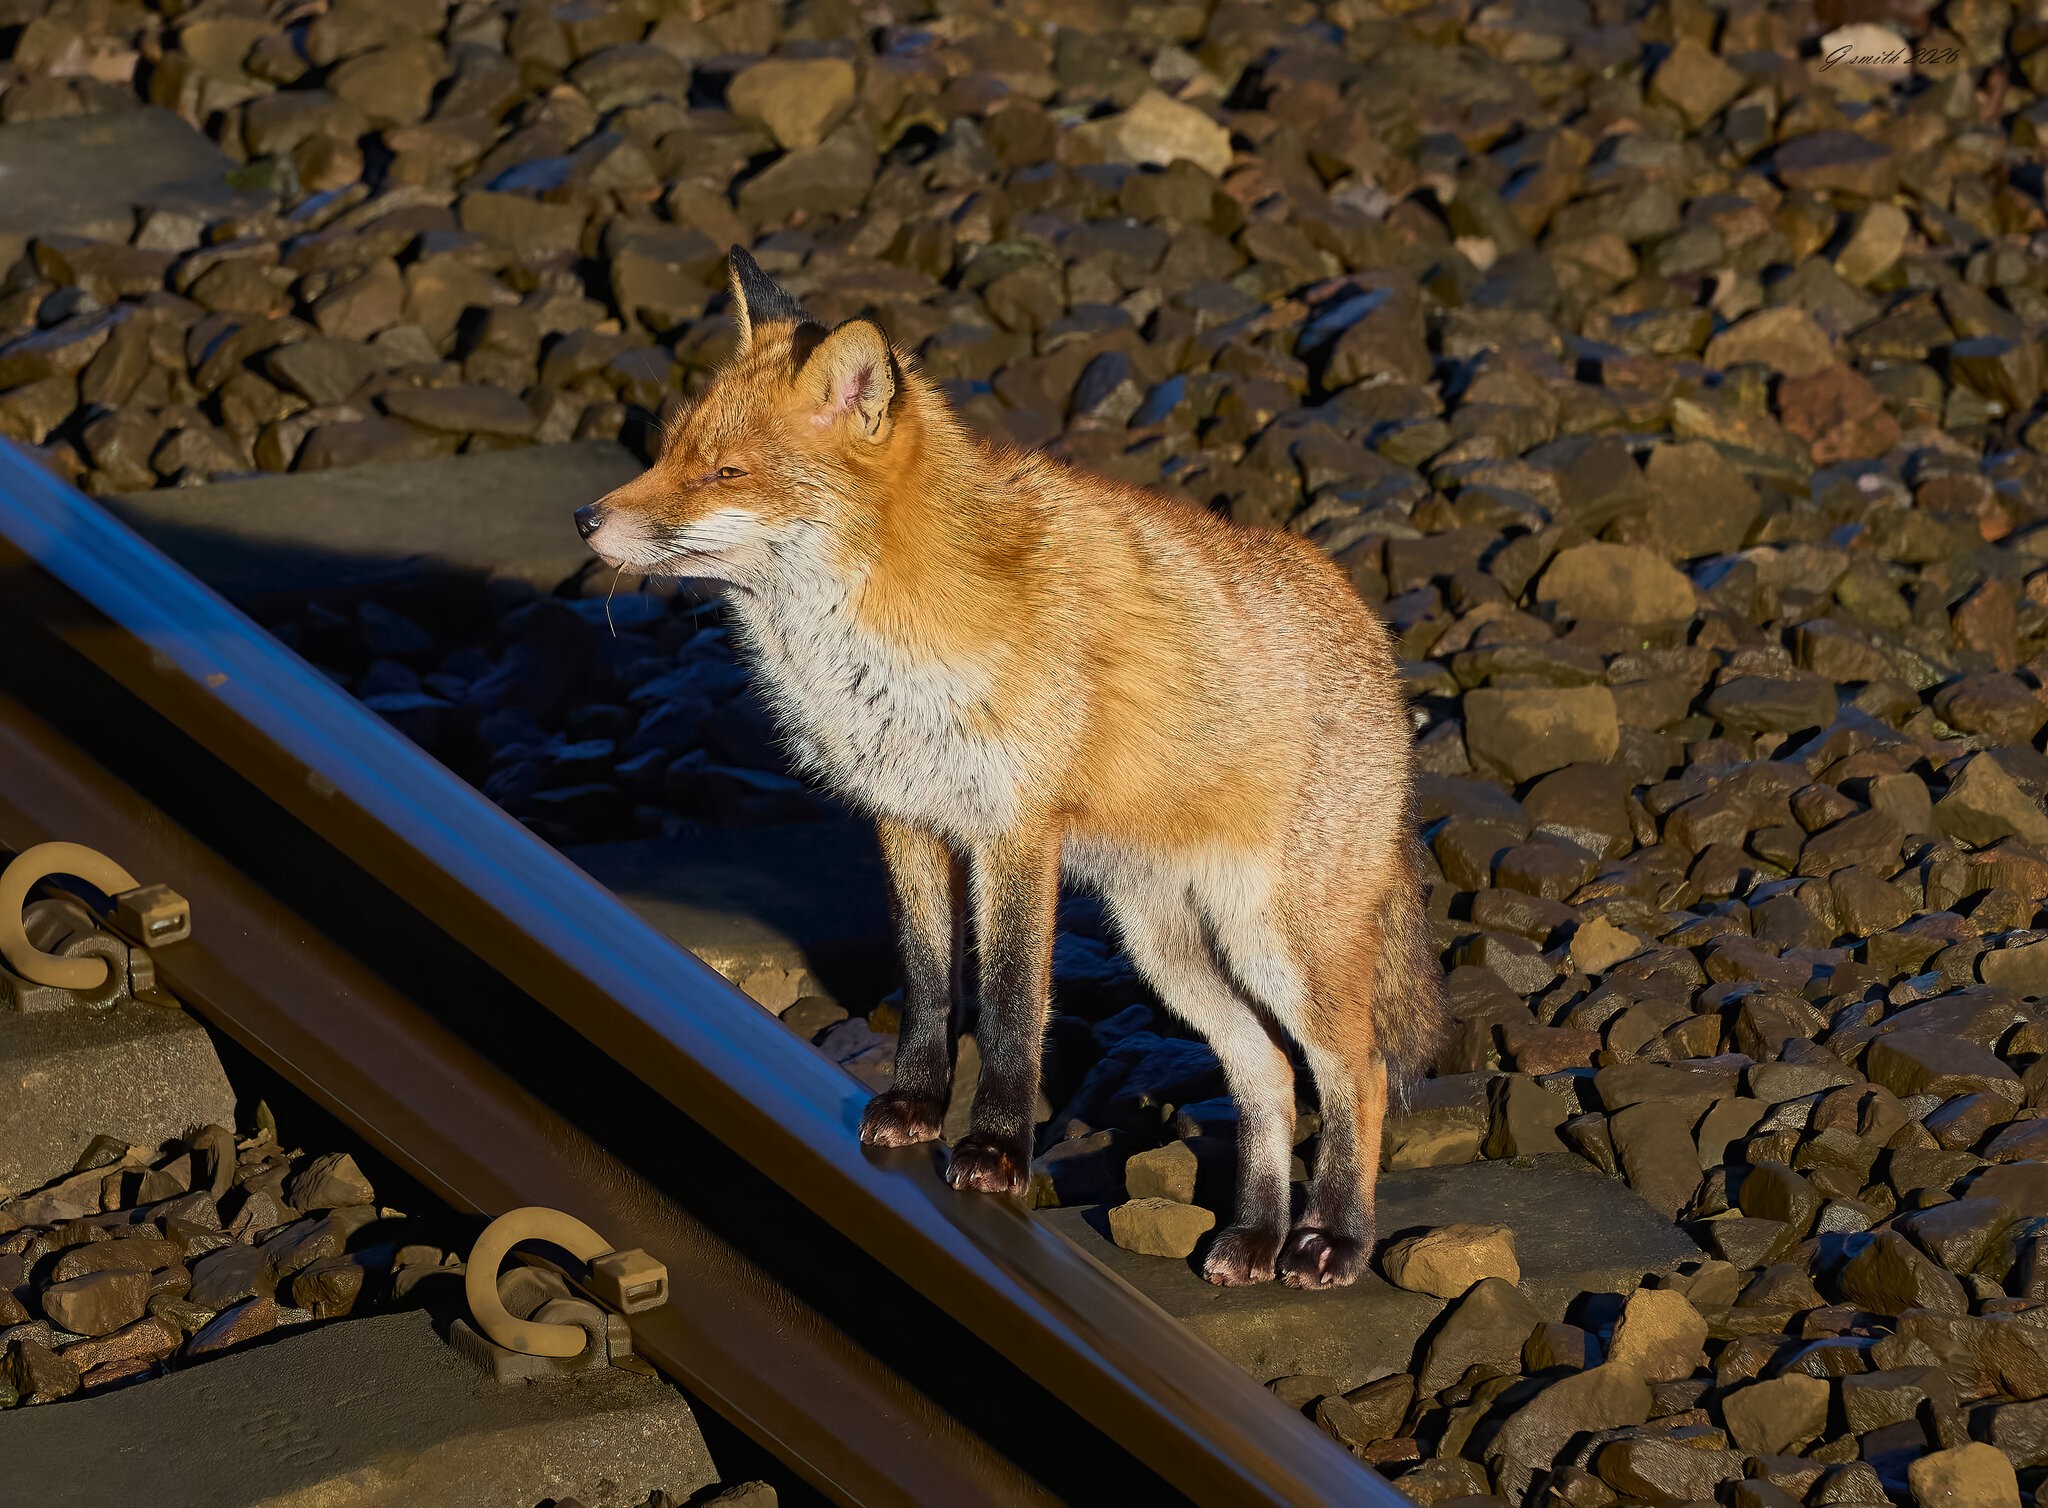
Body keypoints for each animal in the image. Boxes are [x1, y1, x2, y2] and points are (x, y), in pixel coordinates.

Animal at [575, 246, 1446, 1289]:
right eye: (670, 450)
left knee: (1359, 1071)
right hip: (1171, 950)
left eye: (725, 472)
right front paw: (914, 1108)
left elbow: (1007, 1005)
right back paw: (1255, 1237)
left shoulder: (1015, 831)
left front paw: (993, 1149)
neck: (886, 637)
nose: (585, 517)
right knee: (1269, 1076)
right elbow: (927, 978)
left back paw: (1334, 1238)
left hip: (1281, 946)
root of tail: (1375, 641)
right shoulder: (908, 816)